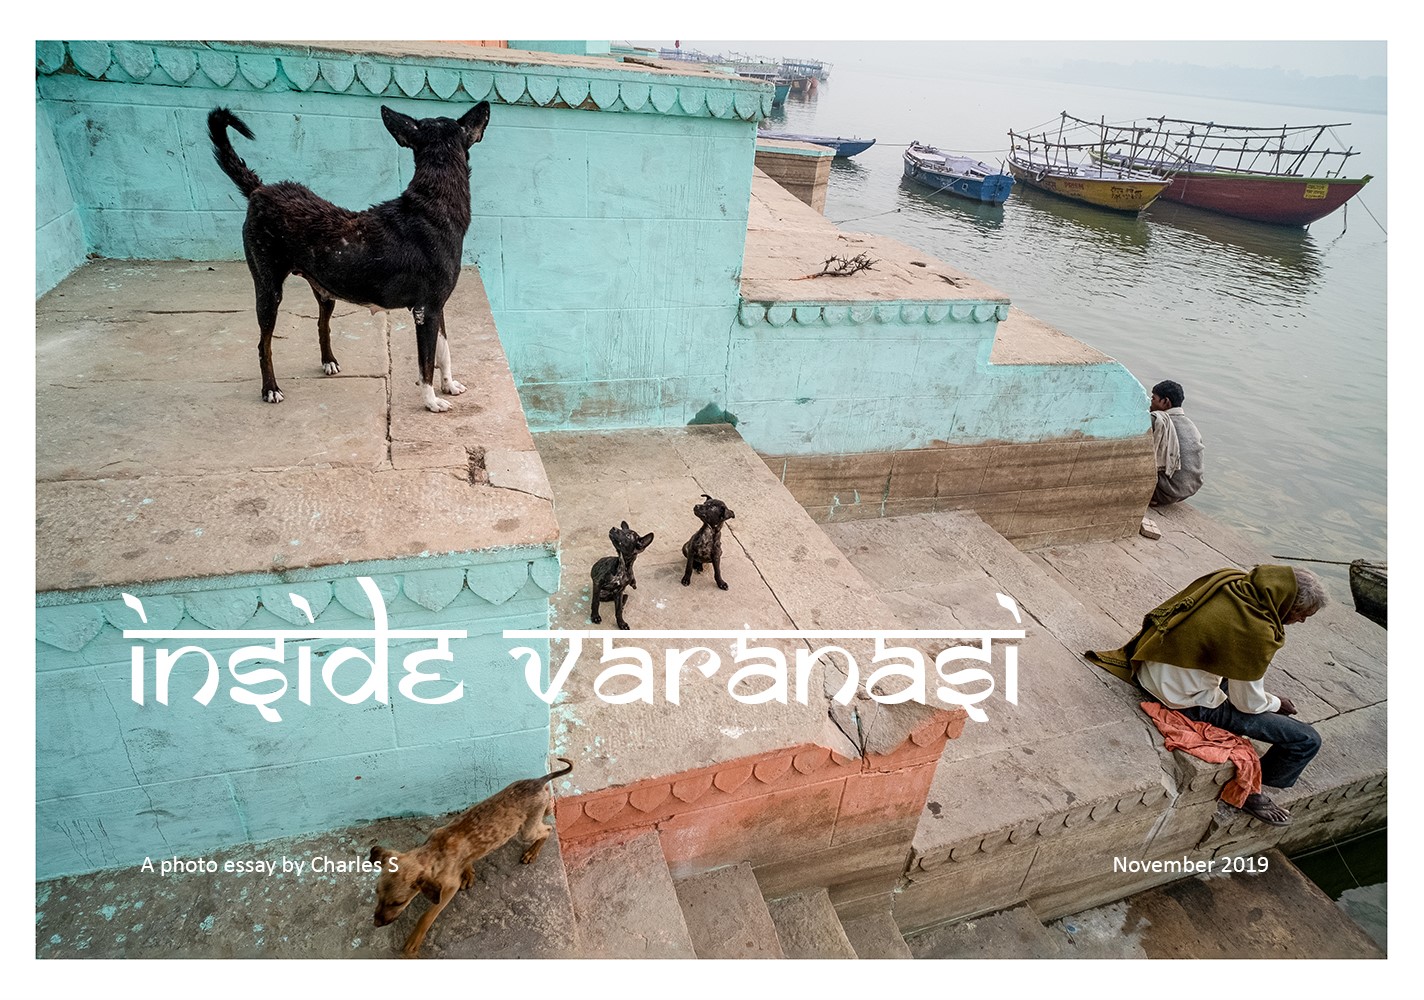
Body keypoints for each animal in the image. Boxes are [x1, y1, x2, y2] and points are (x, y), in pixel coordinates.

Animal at [205, 101, 495, 410]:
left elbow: (444, 351)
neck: (432, 205)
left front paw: (449, 384)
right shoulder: (425, 310)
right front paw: (431, 400)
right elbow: (426, 364)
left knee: (322, 324)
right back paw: (270, 388)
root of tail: (261, 189)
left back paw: (328, 361)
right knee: (264, 344)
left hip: (324, 291)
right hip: (268, 290)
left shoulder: (437, 308)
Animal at [370, 757, 575, 962]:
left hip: (526, 832)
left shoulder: (448, 889)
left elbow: (427, 916)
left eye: (398, 902)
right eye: (377, 893)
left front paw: (413, 943)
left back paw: (532, 851)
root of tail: (539, 781)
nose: (376, 924)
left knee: (547, 830)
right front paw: (468, 872)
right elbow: (468, 859)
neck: (433, 852)